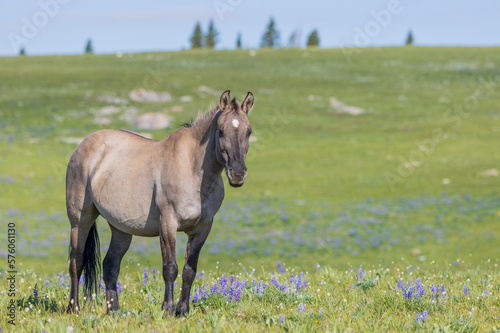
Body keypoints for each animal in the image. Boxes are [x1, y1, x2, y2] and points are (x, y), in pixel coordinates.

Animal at [66, 89, 254, 316]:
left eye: (248, 132)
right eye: (220, 131)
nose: (238, 174)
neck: (193, 170)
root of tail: (84, 144)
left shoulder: (203, 228)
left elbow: (189, 269)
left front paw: (183, 310)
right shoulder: (168, 223)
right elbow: (170, 268)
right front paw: (168, 308)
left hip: (121, 228)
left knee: (110, 264)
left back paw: (115, 312)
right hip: (80, 219)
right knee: (76, 262)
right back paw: (73, 308)